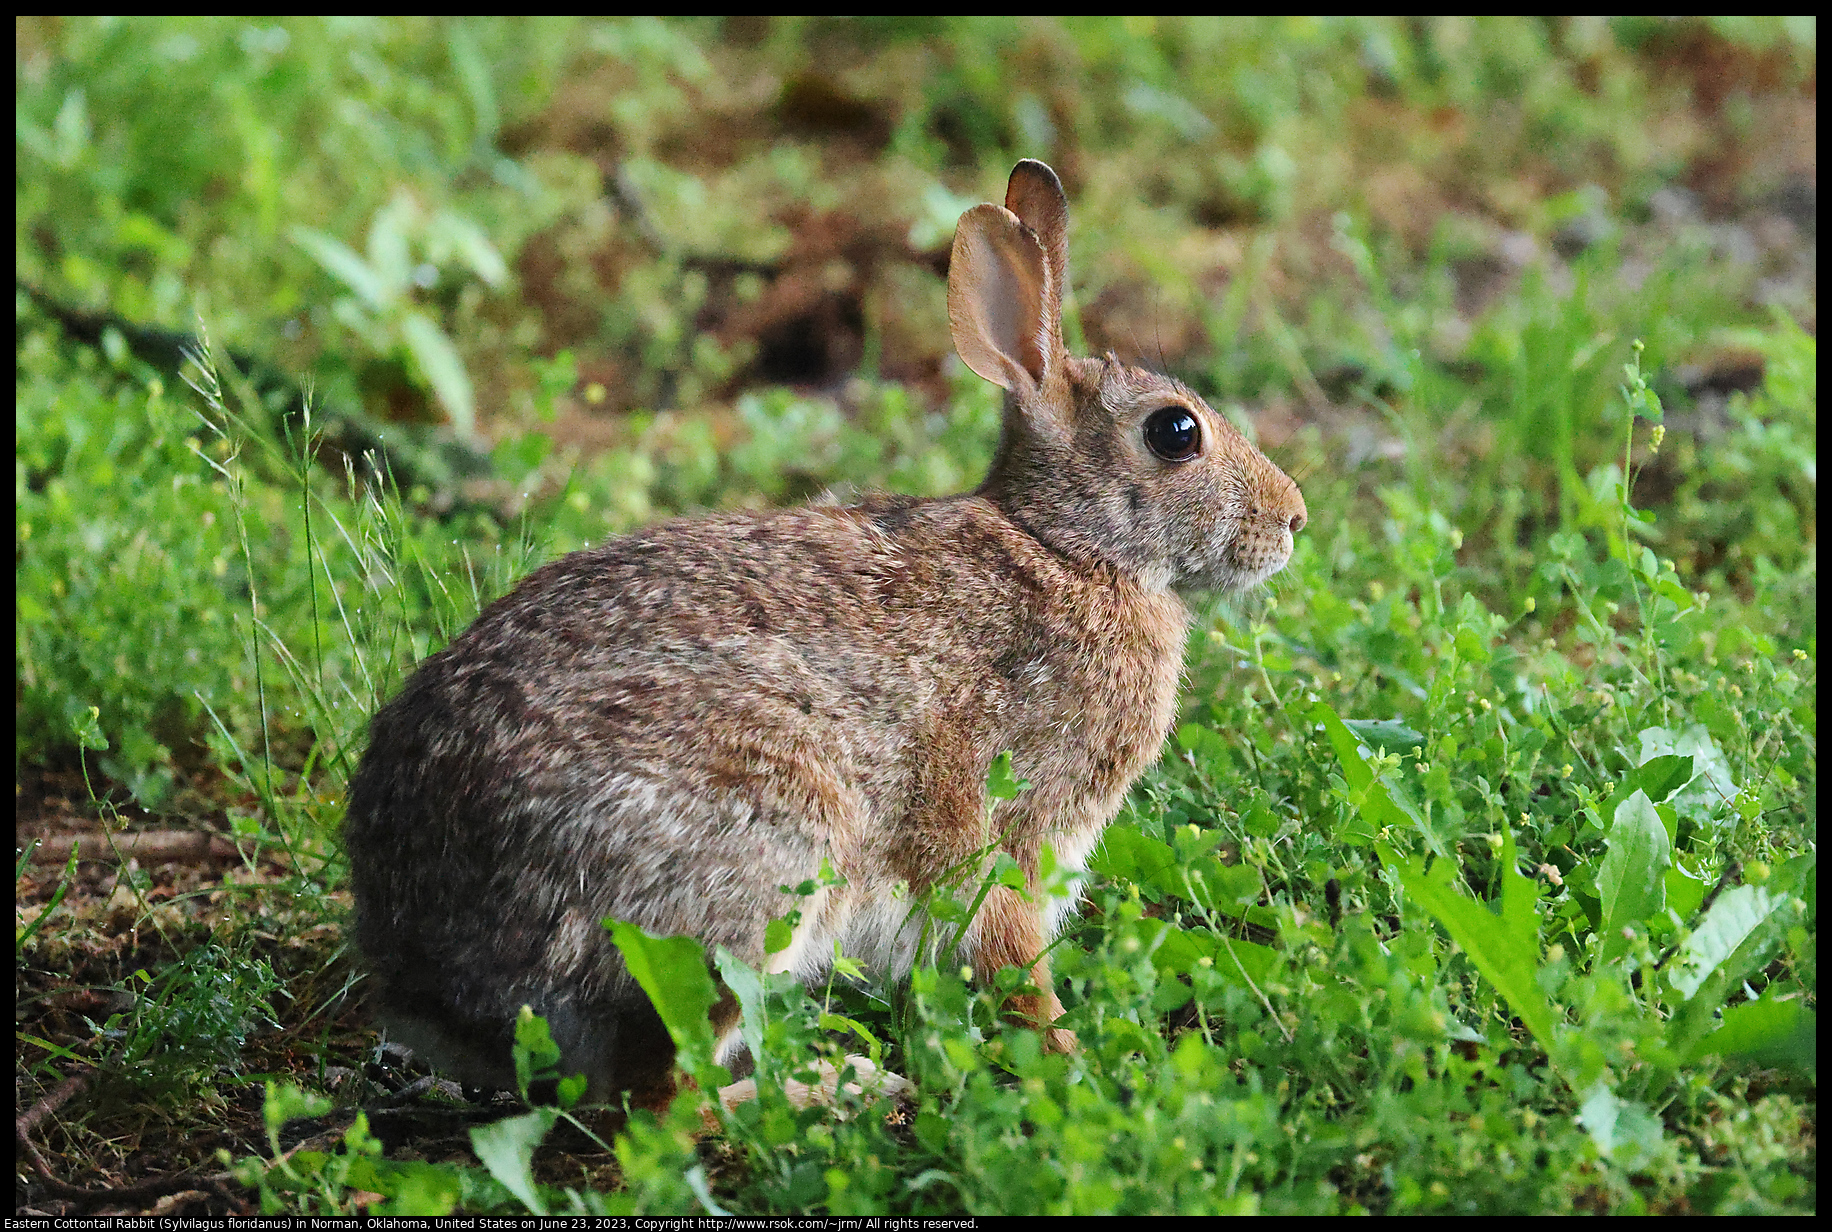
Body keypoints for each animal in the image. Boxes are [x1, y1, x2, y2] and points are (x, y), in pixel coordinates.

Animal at [344, 156, 1311, 1107]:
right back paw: (835, 1086)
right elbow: (1012, 960)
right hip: (761, 852)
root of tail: (434, 978)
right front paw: (1069, 1056)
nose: (1294, 519)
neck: (1067, 546)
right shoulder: (1004, 832)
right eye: (1176, 432)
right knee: (665, 1099)